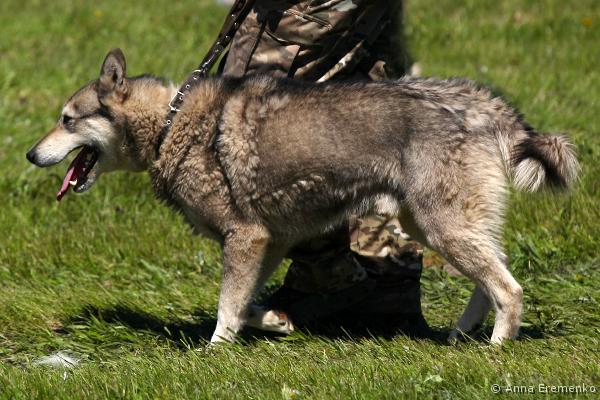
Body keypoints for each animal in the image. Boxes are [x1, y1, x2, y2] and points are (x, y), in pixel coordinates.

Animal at [27, 49, 578, 344]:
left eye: (67, 120)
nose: (31, 154)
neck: (170, 125)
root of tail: (481, 103)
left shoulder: (245, 239)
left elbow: (226, 306)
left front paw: (213, 351)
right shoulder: (267, 243)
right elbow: (246, 301)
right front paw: (273, 321)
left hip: (442, 227)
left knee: (510, 288)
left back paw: (496, 347)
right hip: (433, 225)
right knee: (494, 276)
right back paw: (463, 334)